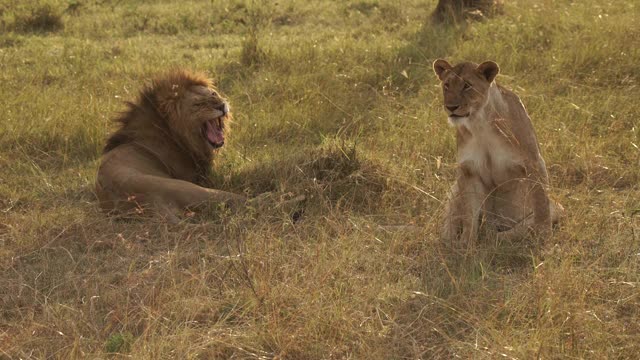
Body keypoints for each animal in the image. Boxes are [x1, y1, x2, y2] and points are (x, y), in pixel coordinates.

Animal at [97, 69, 300, 221]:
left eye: (214, 94)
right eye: (198, 104)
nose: (221, 105)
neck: (172, 132)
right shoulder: (201, 177)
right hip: (191, 189)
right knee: (243, 203)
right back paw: (292, 198)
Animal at [432, 59, 564, 245]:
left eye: (467, 86)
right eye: (447, 85)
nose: (451, 107)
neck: (480, 124)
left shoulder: (534, 163)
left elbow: (541, 206)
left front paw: (545, 238)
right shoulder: (469, 170)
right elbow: (469, 215)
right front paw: (466, 245)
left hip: (557, 207)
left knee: (517, 228)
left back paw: (493, 239)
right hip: (456, 187)